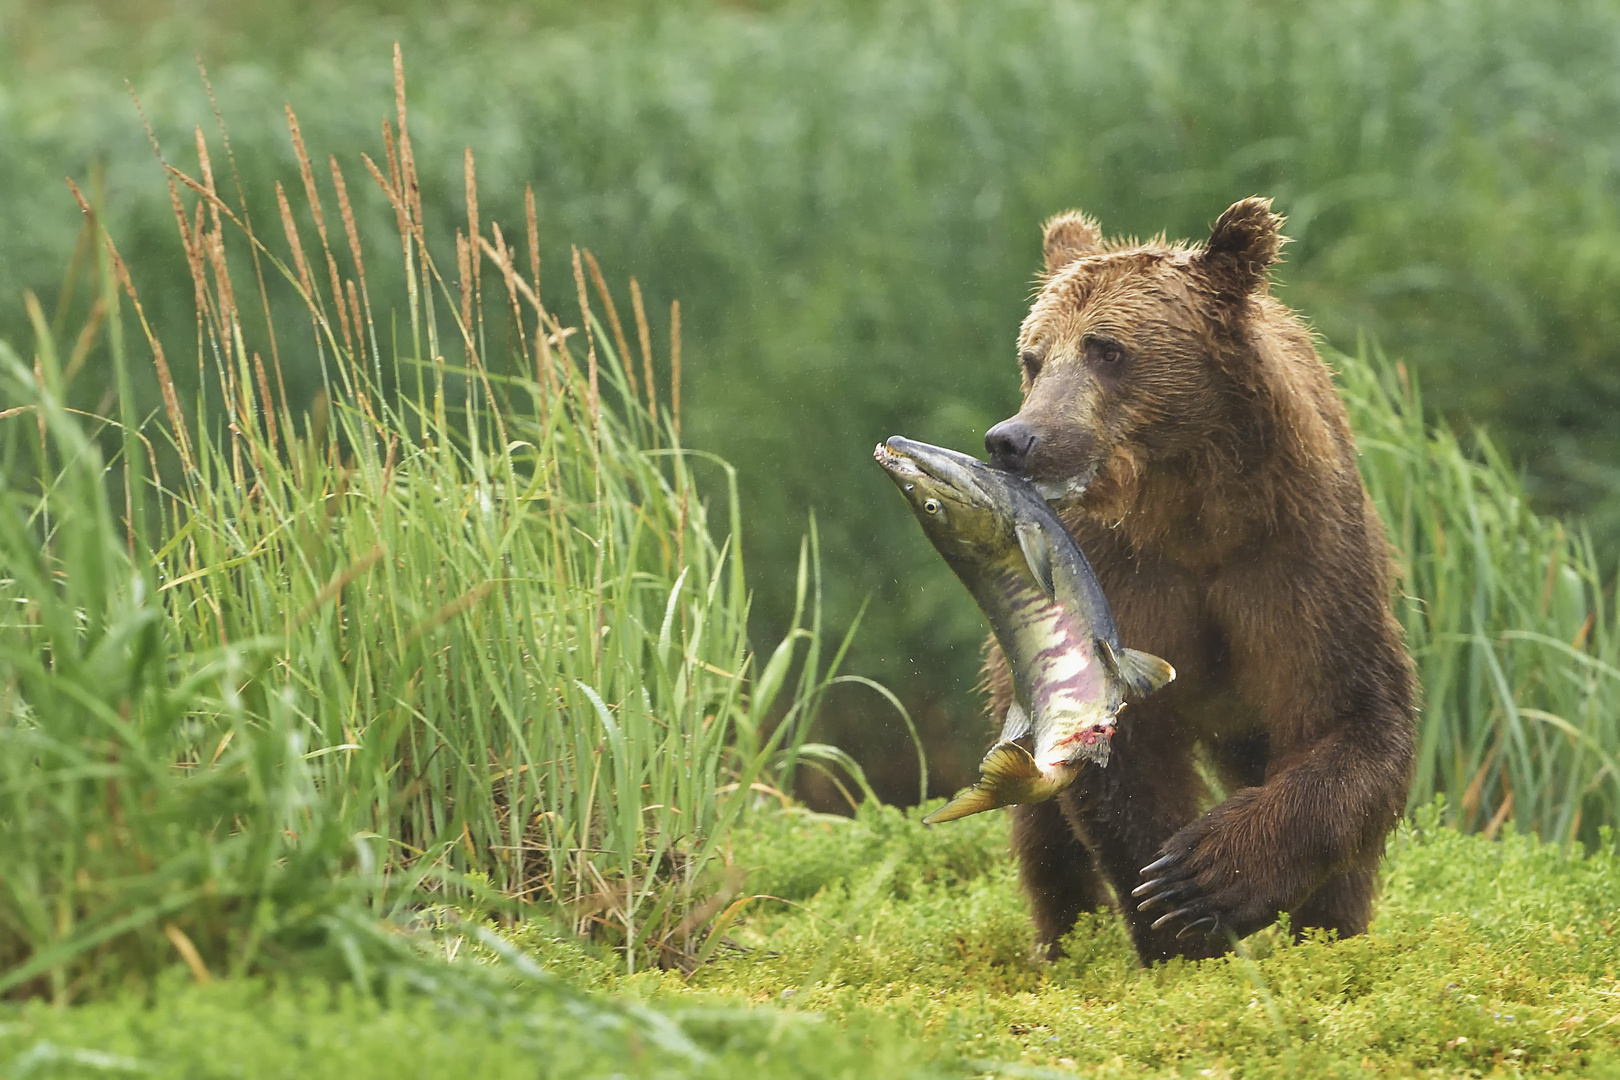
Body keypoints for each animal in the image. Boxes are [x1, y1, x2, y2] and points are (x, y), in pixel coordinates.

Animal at [978, 194, 1412, 965]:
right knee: (1041, 827)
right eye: (1033, 356)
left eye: (1108, 349)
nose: (1016, 439)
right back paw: (1063, 942)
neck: (1193, 510)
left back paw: (1333, 936)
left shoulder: (1298, 557)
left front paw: (1205, 880)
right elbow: (1120, 757)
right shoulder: (1120, 576)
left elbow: (1352, 716)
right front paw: (1173, 922)